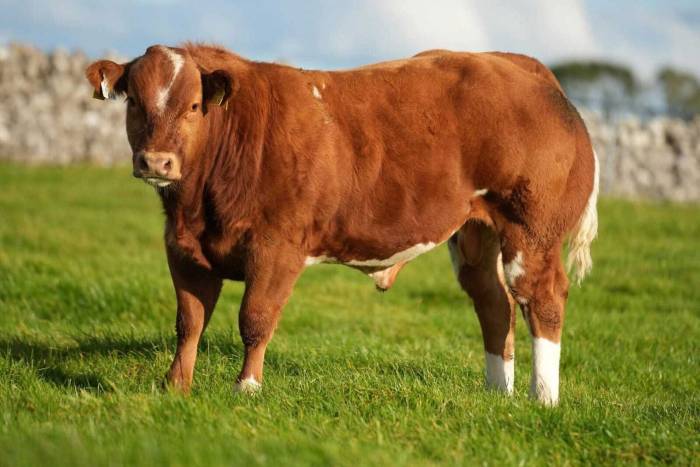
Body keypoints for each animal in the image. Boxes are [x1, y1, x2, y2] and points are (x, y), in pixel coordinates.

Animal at [86, 44, 598, 406]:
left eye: (193, 106)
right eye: (134, 102)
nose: (157, 161)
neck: (198, 205)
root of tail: (520, 66)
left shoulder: (277, 247)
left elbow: (255, 319)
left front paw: (246, 388)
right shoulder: (184, 249)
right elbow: (189, 321)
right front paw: (176, 385)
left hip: (531, 231)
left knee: (542, 299)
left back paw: (542, 398)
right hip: (475, 233)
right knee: (495, 305)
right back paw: (498, 394)